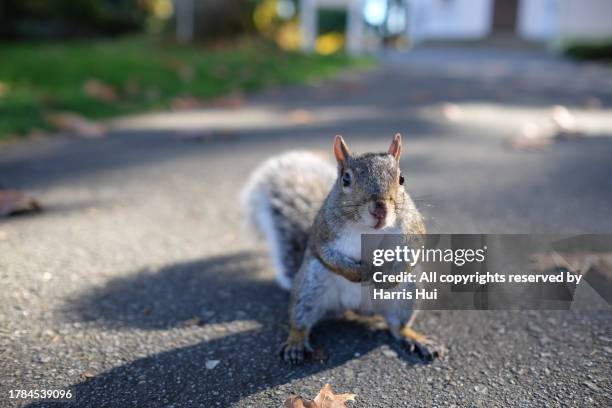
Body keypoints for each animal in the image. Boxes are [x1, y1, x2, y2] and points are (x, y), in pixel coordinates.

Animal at [243, 135, 444, 364]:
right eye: (345, 179)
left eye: (402, 179)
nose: (380, 209)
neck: (368, 230)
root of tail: (357, 307)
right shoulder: (324, 235)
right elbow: (331, 257)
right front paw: (362, 272)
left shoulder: (412, 229)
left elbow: (414, 252)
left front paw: (388, 278)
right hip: (309, 285)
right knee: (301, 321)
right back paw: (295, 342)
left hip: (408, 293)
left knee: (397, 326)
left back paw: (416, 339)